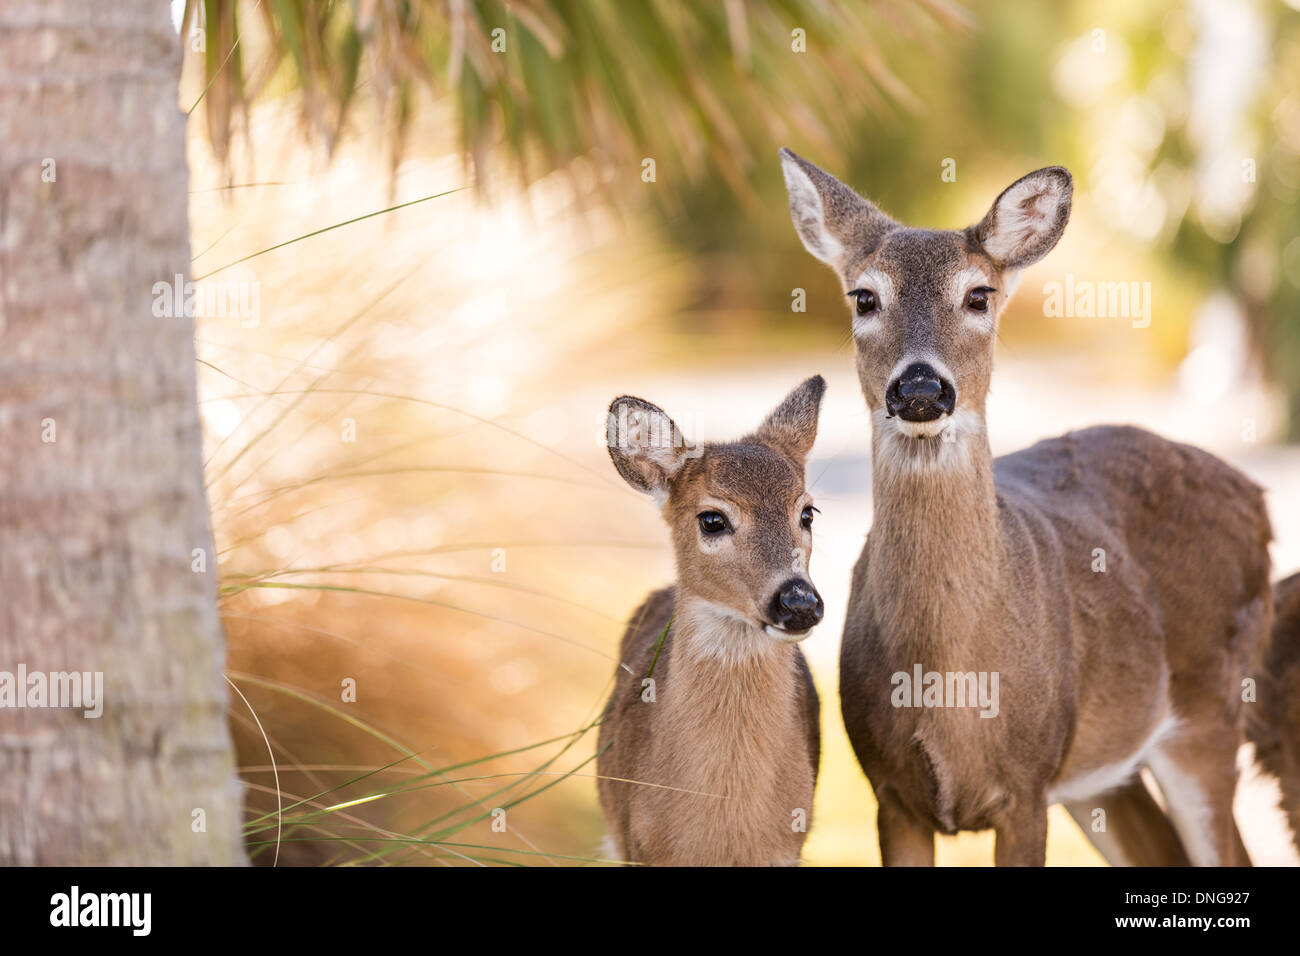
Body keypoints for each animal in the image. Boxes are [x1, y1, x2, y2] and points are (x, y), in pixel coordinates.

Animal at [774, 147, 1274, 868]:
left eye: (978, 295)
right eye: (864, 297)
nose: (920, 387)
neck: (952, 681)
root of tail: (1259, 499)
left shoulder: (1028, 785)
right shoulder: (890, 794)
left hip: (1209, 713)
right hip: (1103, 775)